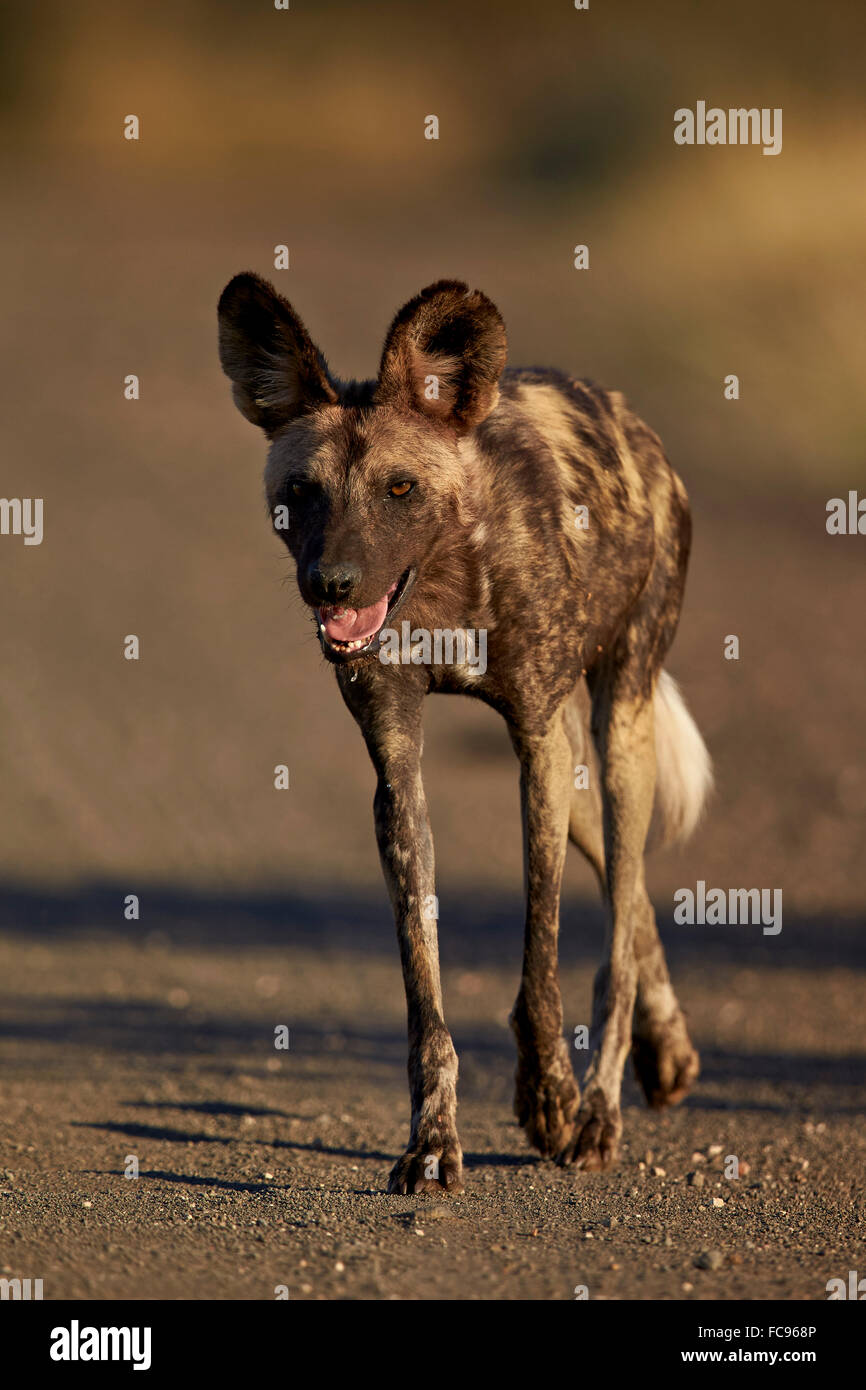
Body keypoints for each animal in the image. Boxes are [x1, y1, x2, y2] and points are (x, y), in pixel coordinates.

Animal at [216, 273, 711, 1195]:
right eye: (302, 492)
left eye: (400, 489)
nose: (330, 584)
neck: (443, 577)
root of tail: (632, 422)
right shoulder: (398, 771)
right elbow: (426, 995)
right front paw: (433, 1141)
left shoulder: (537, 744)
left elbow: (541, 953)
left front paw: (548, 1097)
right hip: (584, 767)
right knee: (627, 894)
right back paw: (665, 1048)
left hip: (615, 729)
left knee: (618, 929)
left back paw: (599, 1112)